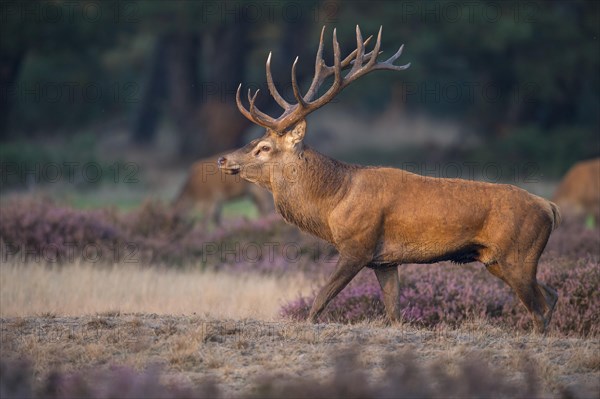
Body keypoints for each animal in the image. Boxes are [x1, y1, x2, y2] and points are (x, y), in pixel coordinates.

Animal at [219, 25, 564, 334]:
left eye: (264, 147)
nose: (223, 160)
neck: (333, 203)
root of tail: (549, 207)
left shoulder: (357, 246)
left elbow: (320, 300)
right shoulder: (385, 262)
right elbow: (394, 312)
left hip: (517, 255)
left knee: (540, 308)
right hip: (501, 260)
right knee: (552, 294)